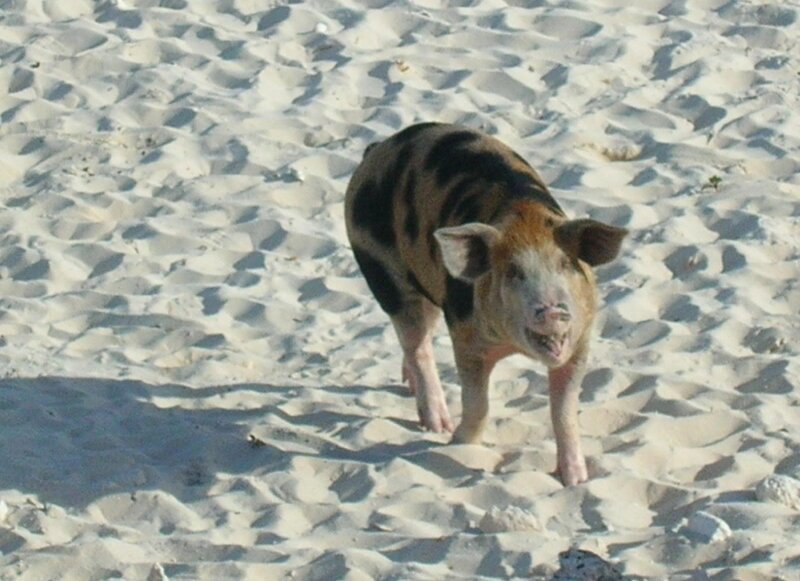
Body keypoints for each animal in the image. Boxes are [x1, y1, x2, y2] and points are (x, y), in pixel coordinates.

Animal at [344, 122, 627, 485]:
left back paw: (410, 387)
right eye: (513, 272)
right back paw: (437, 424)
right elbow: (478, 403)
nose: (552, 309)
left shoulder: (580, 341)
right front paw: (457, 442)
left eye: (565, 264)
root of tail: (377, 149)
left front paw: (575, 480)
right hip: (384, 272)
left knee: (418, 340)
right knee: (417, 345)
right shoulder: (463, 330)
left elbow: (563, 412)